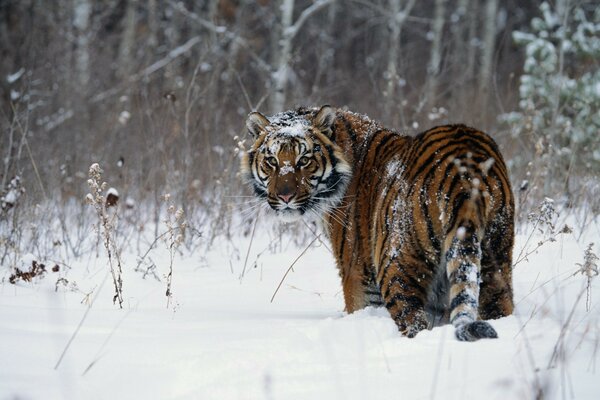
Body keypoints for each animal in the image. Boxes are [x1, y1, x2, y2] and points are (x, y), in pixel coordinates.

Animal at [241, 104, 512, 340]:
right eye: (272, 161)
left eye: (304, 160)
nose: (285, 197)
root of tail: (465, 171)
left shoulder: (358, 273)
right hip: (496, 259)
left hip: (396, 266)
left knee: (414, 322)